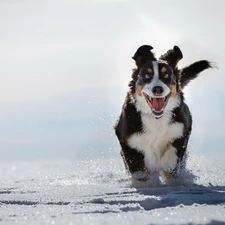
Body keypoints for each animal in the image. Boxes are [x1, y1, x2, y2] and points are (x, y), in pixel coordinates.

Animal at [115, 44, 212, 182]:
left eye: (166, 75)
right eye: (147, 75)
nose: (158, 89)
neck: (156, 119)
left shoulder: (183, 129)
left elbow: (173, 156)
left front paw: (167, 168)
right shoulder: (127, 137)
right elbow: (138, 168)